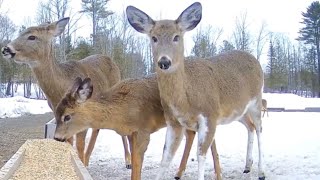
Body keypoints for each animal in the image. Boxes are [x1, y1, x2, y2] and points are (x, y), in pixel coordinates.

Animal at [0, 17, 131, 168]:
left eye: (32, 36)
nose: (6, 49)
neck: (60, 90)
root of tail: (112, 61)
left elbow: (79, 146)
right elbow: (69, 142)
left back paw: (128, 161)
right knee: (96, 129)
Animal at [52, 74, 222, 180]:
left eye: (67, 116)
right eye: (56, 113)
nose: (57, 137)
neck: (122, 110)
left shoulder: (143, 130)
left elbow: (137, 162)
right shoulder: (131, 132)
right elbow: (135, 162)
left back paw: (218, 175)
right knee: (194, 135)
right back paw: (179, 173)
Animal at [127, 1, 264, 180]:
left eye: (176, 37)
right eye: (154, 38)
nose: (164, 62)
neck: (185, 100)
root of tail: (255, 59)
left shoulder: (209, 115)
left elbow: (201, 155)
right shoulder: (174, 122)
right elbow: (165, 158)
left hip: (257, 100)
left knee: (260, 128)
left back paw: (261, 172)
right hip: (238, 111)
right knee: (250, 126)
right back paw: (247, 166)